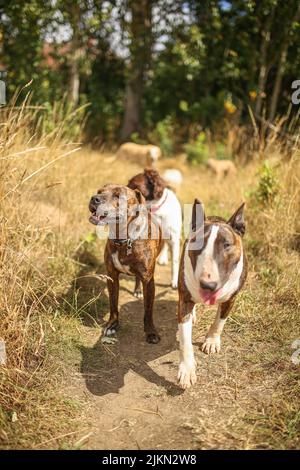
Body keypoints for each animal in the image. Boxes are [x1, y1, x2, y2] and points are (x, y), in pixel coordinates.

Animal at [88, 185, 163, 344]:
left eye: (118, 196)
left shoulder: (148, 280)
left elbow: (148, 310)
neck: (124, 239)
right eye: (99, 191)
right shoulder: (112, 277)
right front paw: (112, 325)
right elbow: (113, 304)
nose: (94, 198)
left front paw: (151, 332)